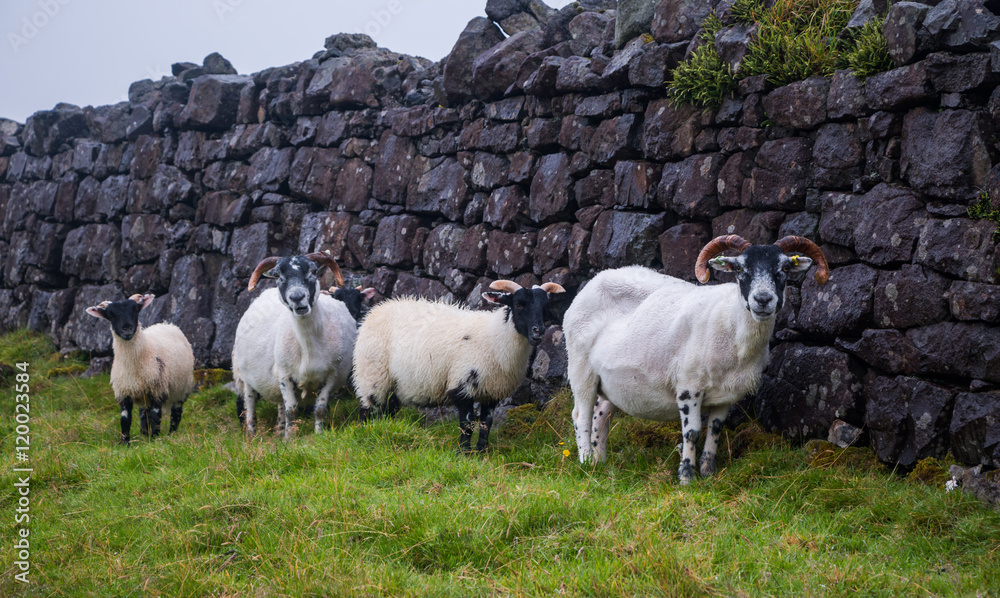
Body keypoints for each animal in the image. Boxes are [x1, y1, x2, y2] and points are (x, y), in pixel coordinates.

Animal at [85, 293, 195, 445]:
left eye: (135, 310)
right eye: (111, 315)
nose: (127, 328)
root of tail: (166, 324)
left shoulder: (157, 389)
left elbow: (156, 416)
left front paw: (155, 439)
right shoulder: (124, 392)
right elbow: (125, 419)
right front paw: (124, 443)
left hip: (182, 388)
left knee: (175, 414)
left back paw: (171, 434)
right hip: (143, 396)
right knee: (144, 416)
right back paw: (144, 435)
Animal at [232, 251, 358, 439]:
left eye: (313, 271)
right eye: (278, 276)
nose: (297, 298)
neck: (307, 343)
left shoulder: (331, 376)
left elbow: (319, 409)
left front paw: (318, 435)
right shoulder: (285, 375)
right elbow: (292, 410)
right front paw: (289, 439)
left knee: (280, 406)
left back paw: (278, 432)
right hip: (245, 377)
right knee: (250, 405)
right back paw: (251, 435)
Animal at [352, 280, 566, 452]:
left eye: (545, 306)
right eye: (519, 304)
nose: (539, 331)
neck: (494, 337)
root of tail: (378, 309)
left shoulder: (491, 391)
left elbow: (486, 423)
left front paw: (481, 452)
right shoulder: (462, 386)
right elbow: (468, 424)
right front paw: (463, 453)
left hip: (394, 384)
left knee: (389, 410)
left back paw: (386, 431)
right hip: (372, 374)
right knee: (366, 409)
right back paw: (365, 435)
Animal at [563, 235, 829, 484]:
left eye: (784, 268)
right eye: (740, 269)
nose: (763, 299)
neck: (731, 325)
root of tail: (596, 279)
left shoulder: (727, 394)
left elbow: (715, 429)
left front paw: (708, 472)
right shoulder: (688, 387)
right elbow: (691, 432)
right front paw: (686, 477)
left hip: (611, 380)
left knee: (601, 414)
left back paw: (599, 462)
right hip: (580, 369)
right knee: (580, 416)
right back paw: (585, 462)